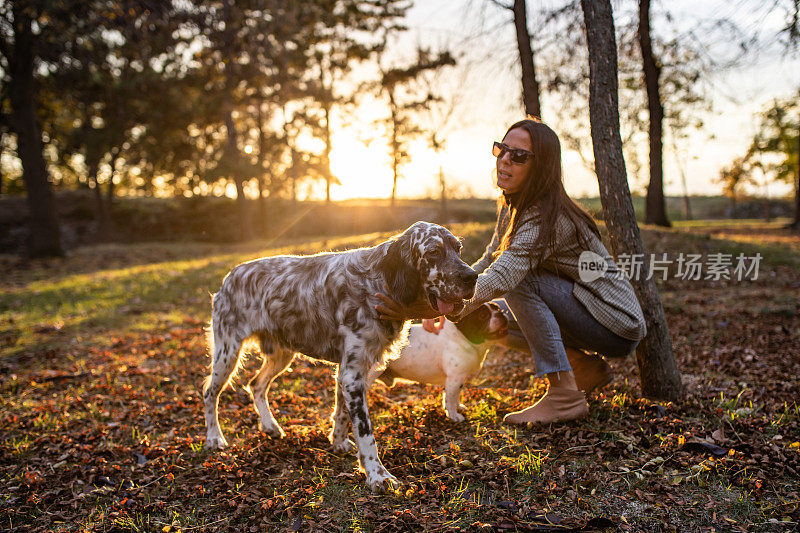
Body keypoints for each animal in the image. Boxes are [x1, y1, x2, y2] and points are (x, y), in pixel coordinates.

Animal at [203, 219, 478, 490]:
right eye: (433, 252)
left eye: (458, 249)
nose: (472, 277)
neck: (375, 282)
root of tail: (228, 278)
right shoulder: (351, 373)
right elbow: (365, 431)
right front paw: (378, 475)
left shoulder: (353, 370)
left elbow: (343, 413)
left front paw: (338, 443)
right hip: (227, 353)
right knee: (210, 393)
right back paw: (215, 438)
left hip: (281, 355)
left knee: (256, 384)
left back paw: (270, 426)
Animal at [372, 302, 510, 422]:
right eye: (483, 316)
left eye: (497, 308)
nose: (500, 313)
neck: (460, 337)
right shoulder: (455, 378)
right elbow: (451, 398)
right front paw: (454, 415)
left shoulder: (457, 380)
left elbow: (454, 396)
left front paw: (458, 407)